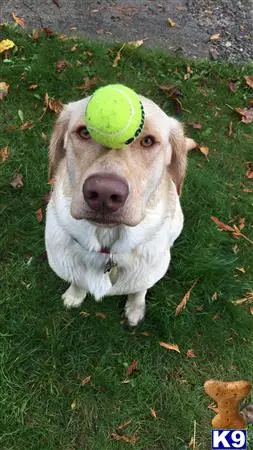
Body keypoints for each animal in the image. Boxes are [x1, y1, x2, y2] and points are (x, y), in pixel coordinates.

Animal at [45, 91, 196, 326]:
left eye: (148, 141)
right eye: (84, 133)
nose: (104, 193)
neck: (107, 248)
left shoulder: (147, 275)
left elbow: (139, 290)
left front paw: (135, 309)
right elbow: (78, 281)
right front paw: (74, 295)